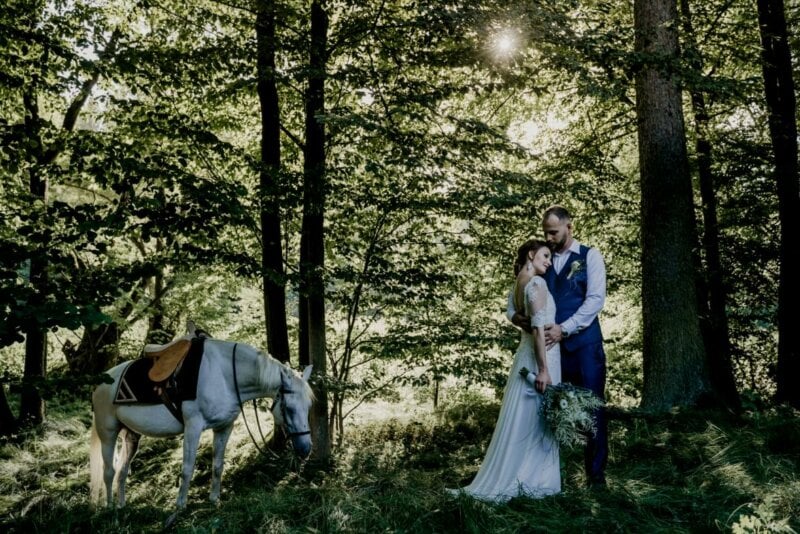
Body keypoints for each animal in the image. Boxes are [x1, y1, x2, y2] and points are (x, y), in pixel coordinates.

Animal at [88, 332, 312, 524]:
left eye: (309, 406)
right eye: (289, 407)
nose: (305, 449)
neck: (224, 375)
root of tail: (101, 382)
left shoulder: (224, 427)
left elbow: (218, 465)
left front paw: (214, 501)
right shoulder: (193, 427)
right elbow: (187, 468)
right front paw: (180, 507)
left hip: (131, 436)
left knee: (122, 471)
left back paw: (122, 507)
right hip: (108, 433)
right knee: (109, 471)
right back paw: (109, 509)